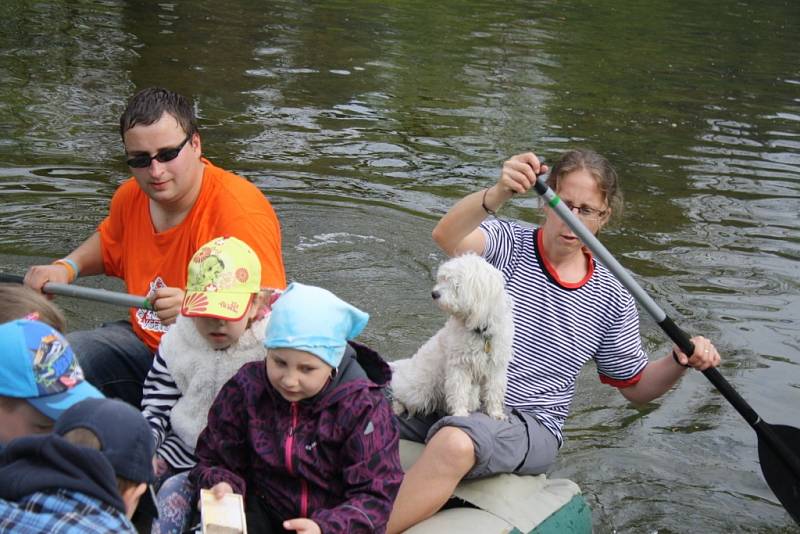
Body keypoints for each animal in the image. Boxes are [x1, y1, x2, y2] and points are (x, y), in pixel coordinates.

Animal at [392, 255, 516, 422]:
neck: (480, 332)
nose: (434, 293)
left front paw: (496, 413)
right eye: (443, 279)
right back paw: (397, 407)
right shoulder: (459, 365)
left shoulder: (496, 367)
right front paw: (460, 413)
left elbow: (494, 391)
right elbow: (459, 391)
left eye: (456, 285)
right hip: (420, 389)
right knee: (400, 392)